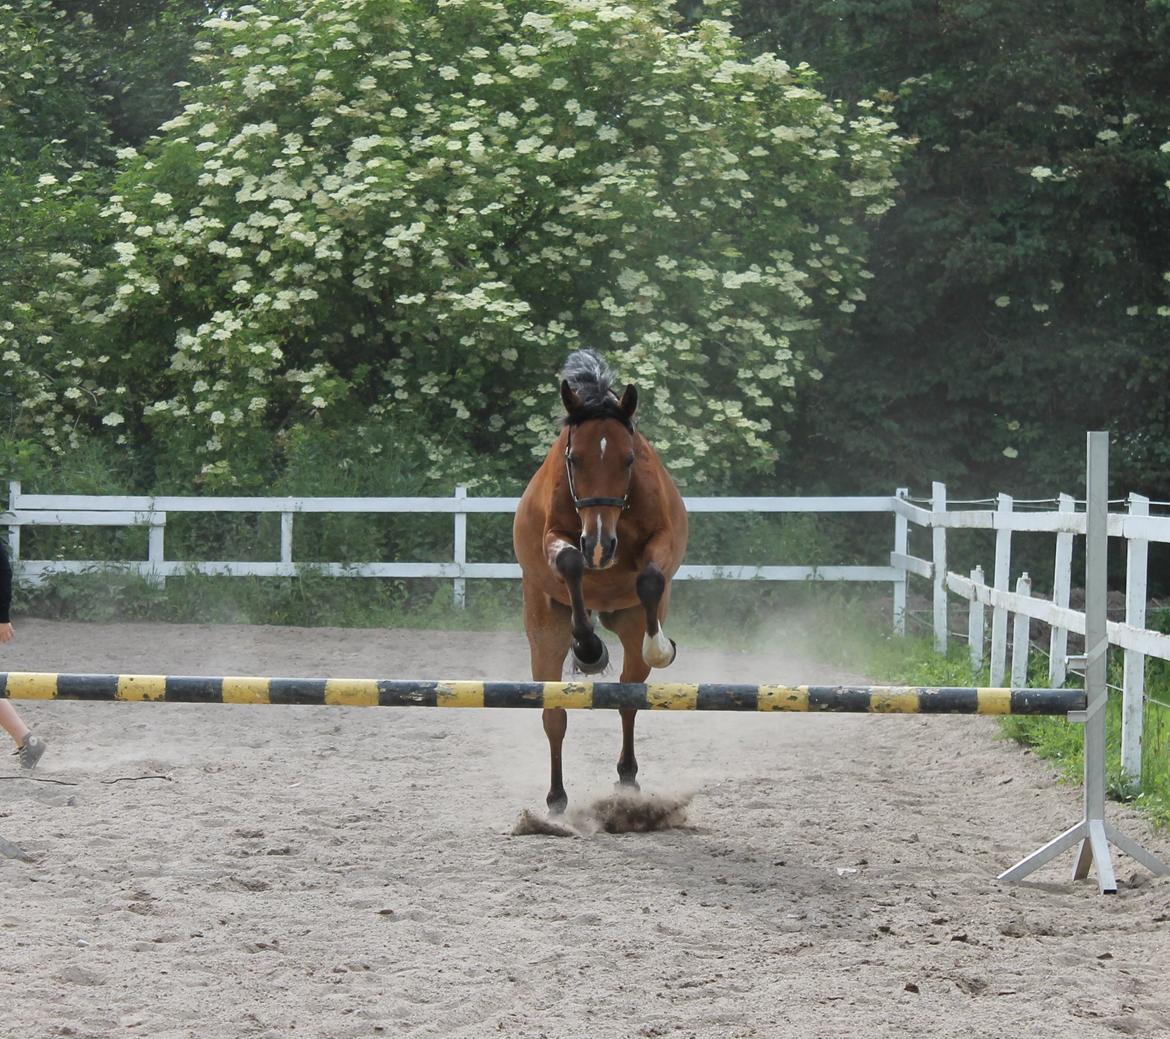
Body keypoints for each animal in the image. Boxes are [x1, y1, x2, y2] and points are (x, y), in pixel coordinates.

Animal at [510, 348, 683, 809]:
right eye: (574, 460)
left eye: (629, 459)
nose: (602, 546)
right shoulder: (557, 538)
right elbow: (571, 563)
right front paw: (588, 649)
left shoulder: (663, 540)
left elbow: (650, 580)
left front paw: (662, 647)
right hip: (544, 636)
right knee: (554, 714)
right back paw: (556, 797)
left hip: (628, 624)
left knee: (628, 697)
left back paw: (627, 777)